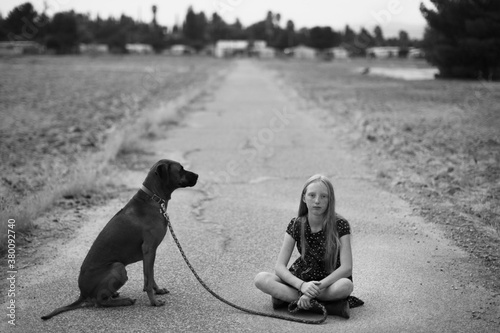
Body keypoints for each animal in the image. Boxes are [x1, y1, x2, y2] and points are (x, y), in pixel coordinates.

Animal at [41, 158, 197, 320]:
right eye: (181, 169)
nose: (198, 176)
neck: (153, 198)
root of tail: (82, 294)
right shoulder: (149, 249)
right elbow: (148, 280)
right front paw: (154, 302)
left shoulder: (149, 253)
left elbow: (150, 276)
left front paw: (158, 291)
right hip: (118, 267)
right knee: (99, 302)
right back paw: (125, 301)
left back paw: (115, 294)